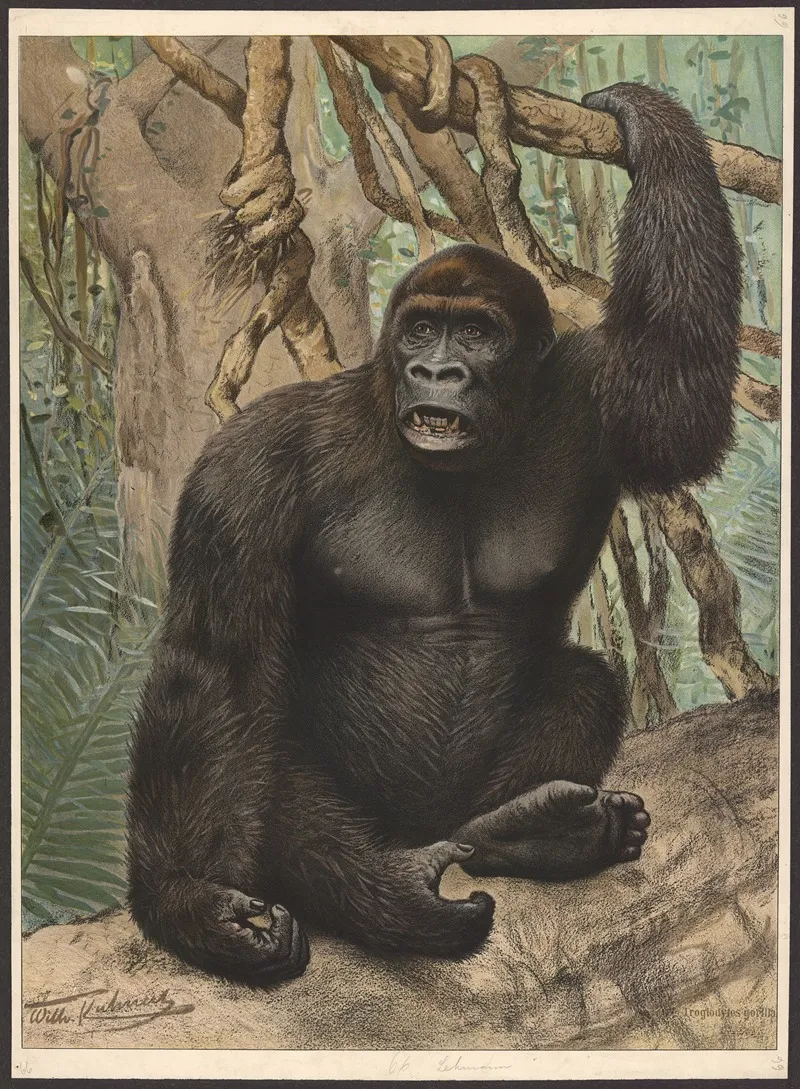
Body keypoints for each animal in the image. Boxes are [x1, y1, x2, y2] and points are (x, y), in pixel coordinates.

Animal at [126, 83, 742, 983]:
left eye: (476, 334)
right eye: (420, 329)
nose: (437, 372)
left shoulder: (588, 390)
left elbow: (674, 403)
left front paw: (646, 121)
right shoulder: (251, 462)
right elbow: (219, 670)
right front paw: (195, 907)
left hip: (460, 811)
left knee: (580, 686)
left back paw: (531, 833)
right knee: (270, 772)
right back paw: (390, 890)